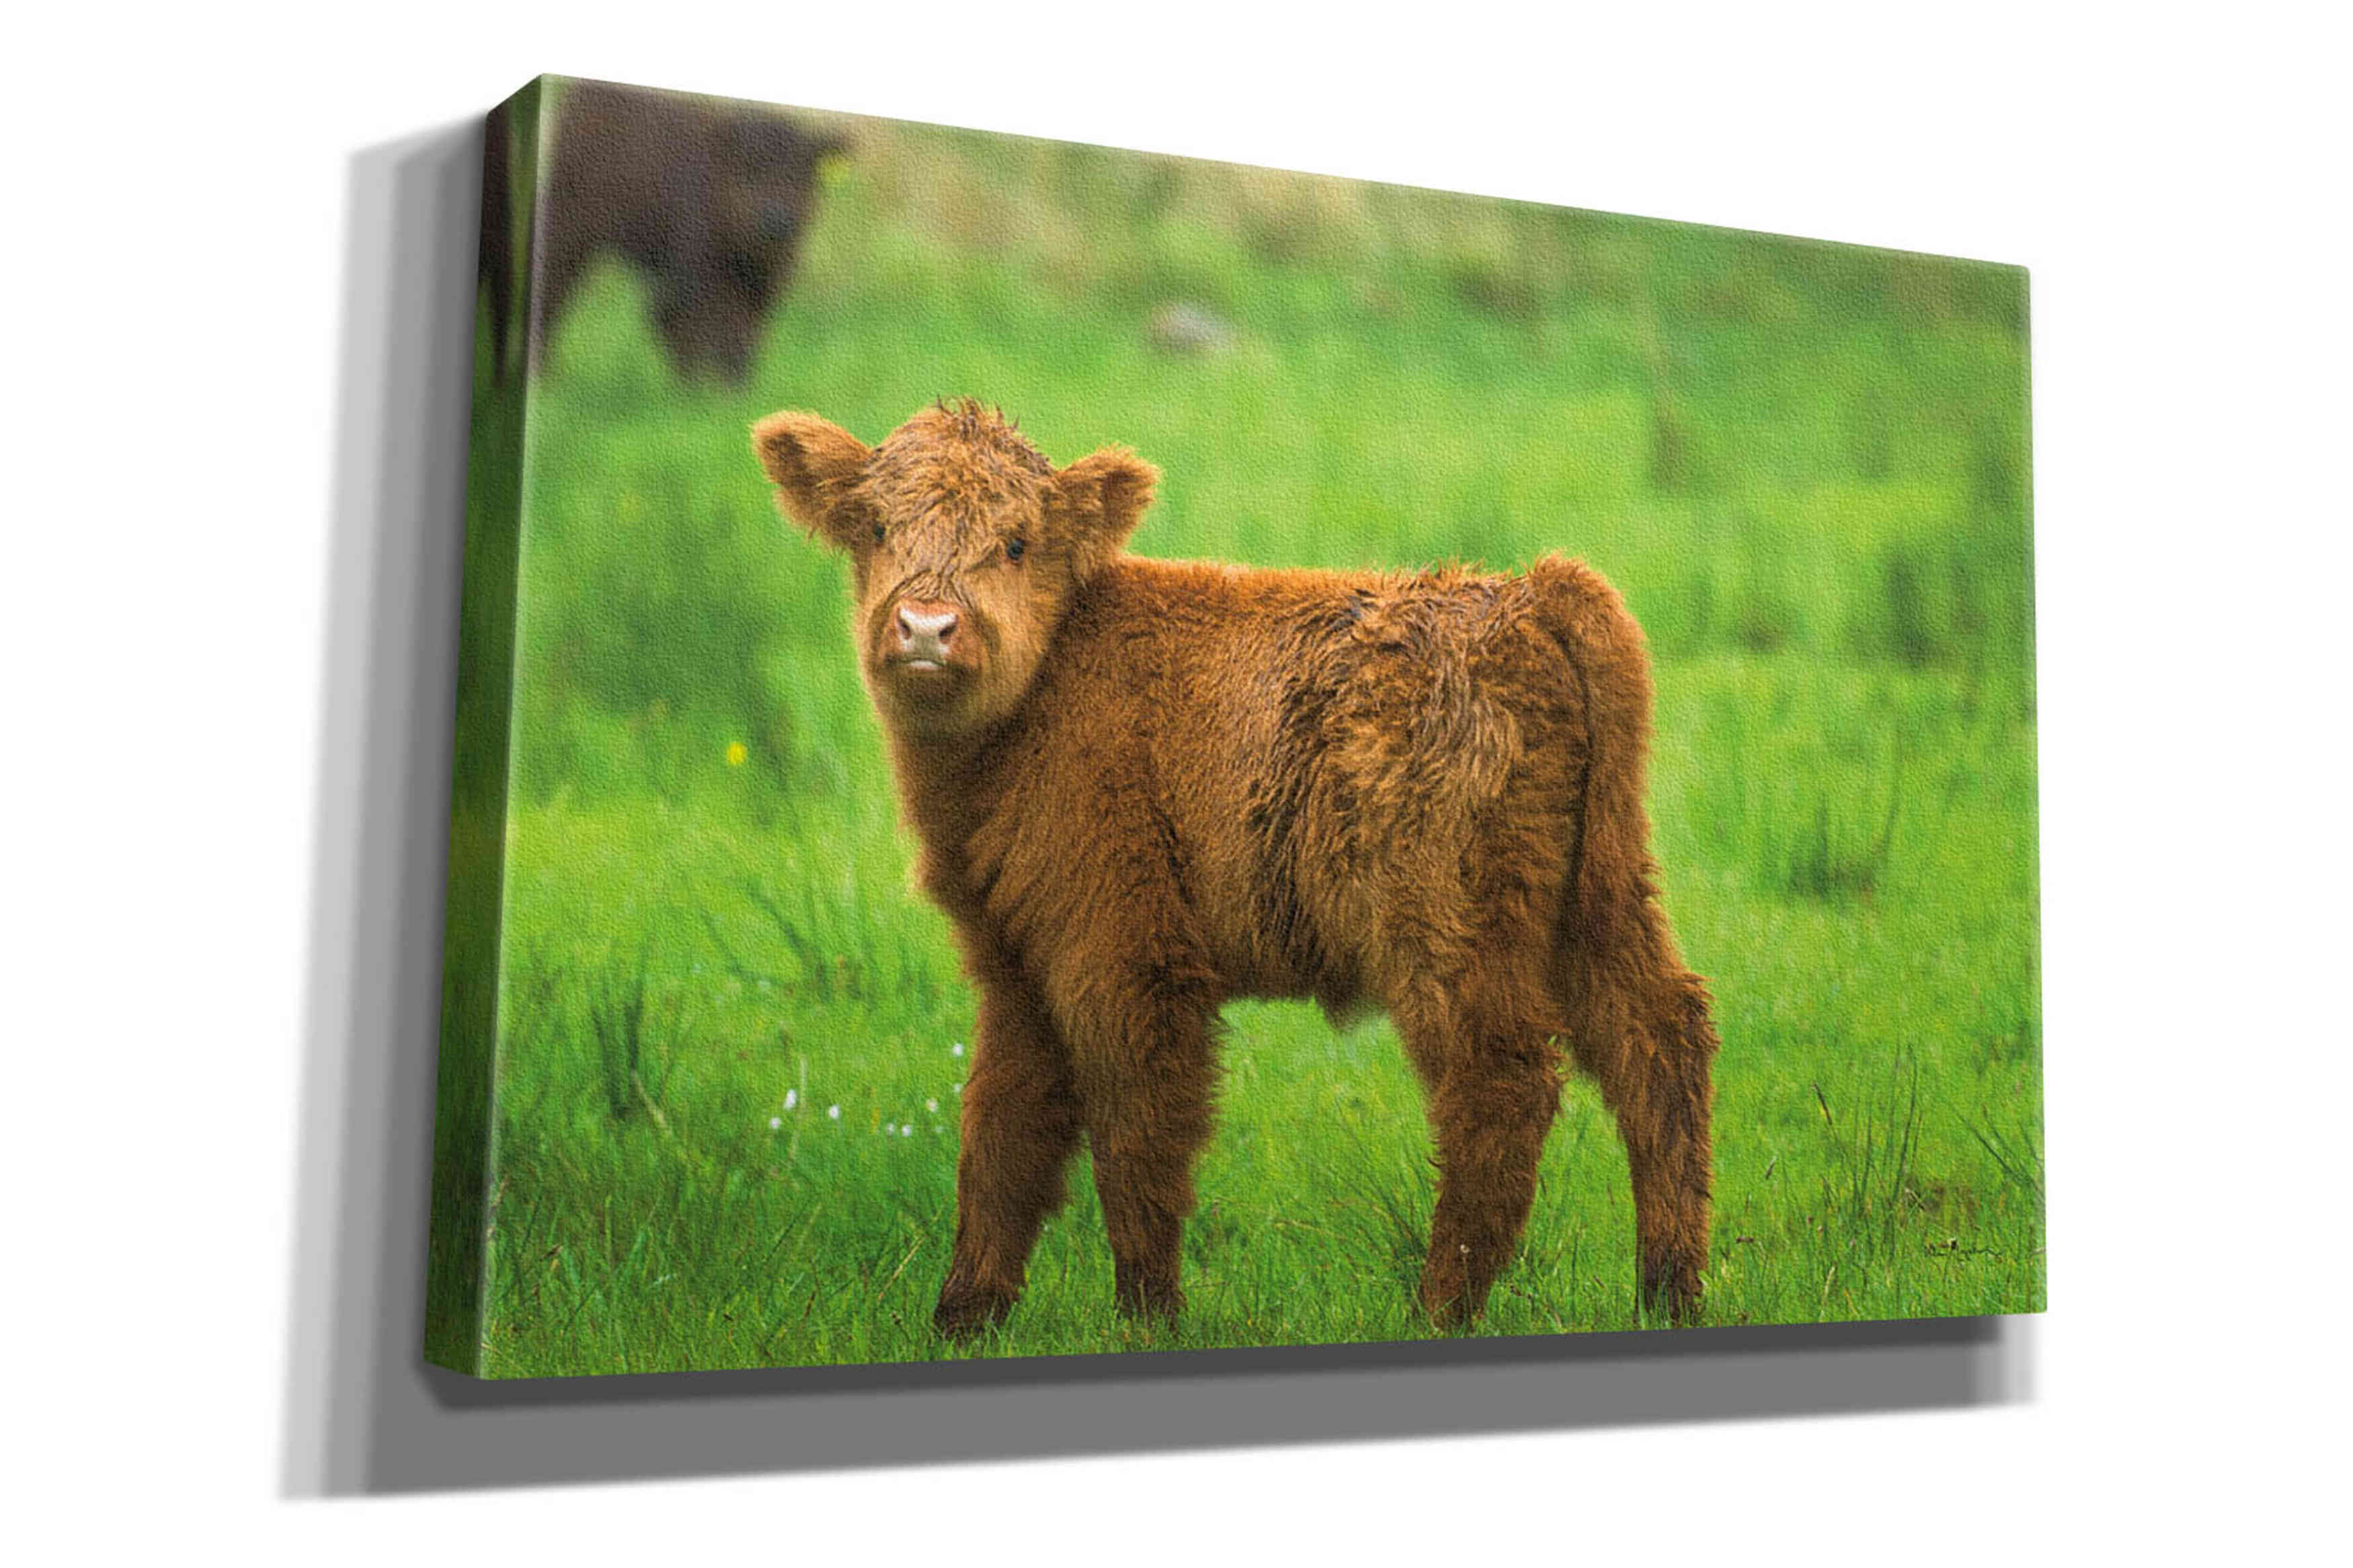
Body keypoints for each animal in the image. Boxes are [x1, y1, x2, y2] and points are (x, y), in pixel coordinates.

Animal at [752, 399, 1719, 1336]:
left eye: (1018, 540)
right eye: (876, 526)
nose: (926, 627)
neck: (1043, 691)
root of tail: (1523, 593)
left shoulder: (1125, 956)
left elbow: (1136, 1134)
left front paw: (1148, 1313)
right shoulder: (1016, 966)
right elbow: (1000, 1132)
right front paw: (962, 1315)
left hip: (1447, 927)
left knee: (1503, 1084)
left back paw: (1439, 1308)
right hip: (1598, 900)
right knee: (1658, 1041)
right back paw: (1667, 1292)